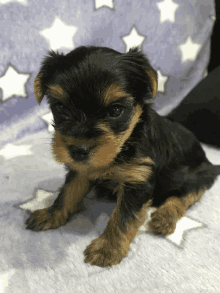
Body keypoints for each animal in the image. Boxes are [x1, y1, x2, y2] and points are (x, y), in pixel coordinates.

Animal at [26, 44, 220, 266]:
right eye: (60, 107)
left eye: (116, 110)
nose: (78, 149)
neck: (124, 146)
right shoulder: (81, 169)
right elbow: (68, 192)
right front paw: (50, 214)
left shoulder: (138, 179)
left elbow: (123, 217)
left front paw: (107, 248)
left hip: (200, 173)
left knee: (187, 195)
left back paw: (164, 218)